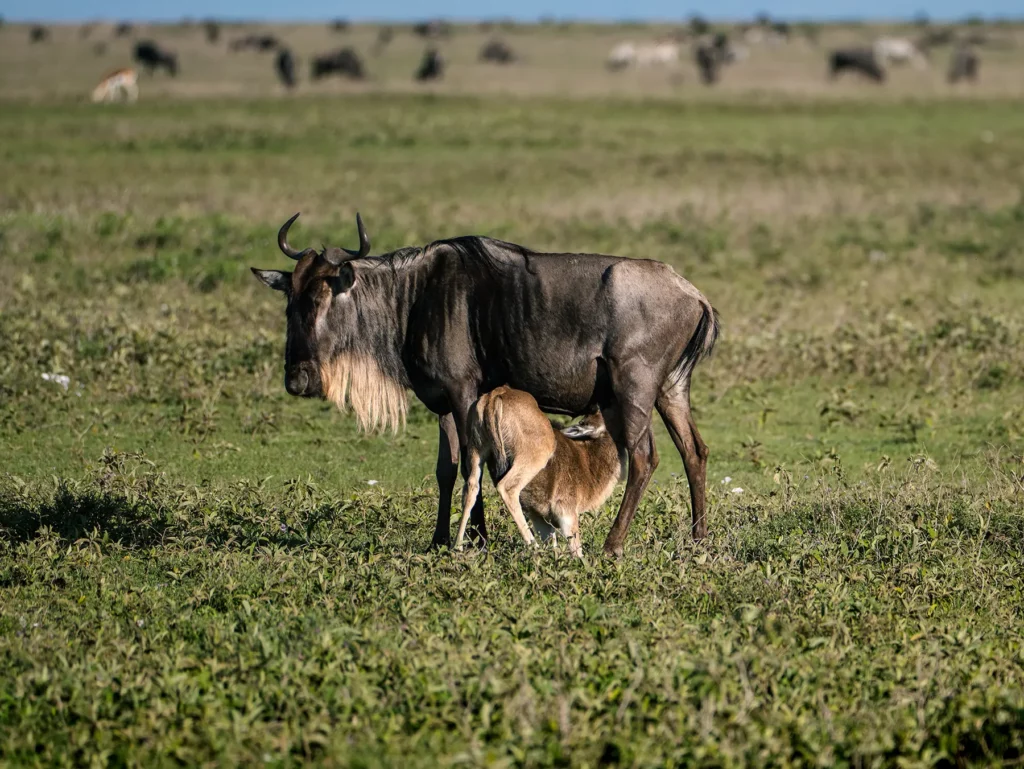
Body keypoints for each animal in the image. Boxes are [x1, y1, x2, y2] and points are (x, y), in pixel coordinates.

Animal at [456, 386, 625, 558]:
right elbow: (576, 551)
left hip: (476, 450)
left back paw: (457, 547)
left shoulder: (541, 518)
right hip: (534, 455)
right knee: (507, 488)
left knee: (471, 487)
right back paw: (533, 548)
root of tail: (496, 394)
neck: (588, 461)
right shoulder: (566, 513)